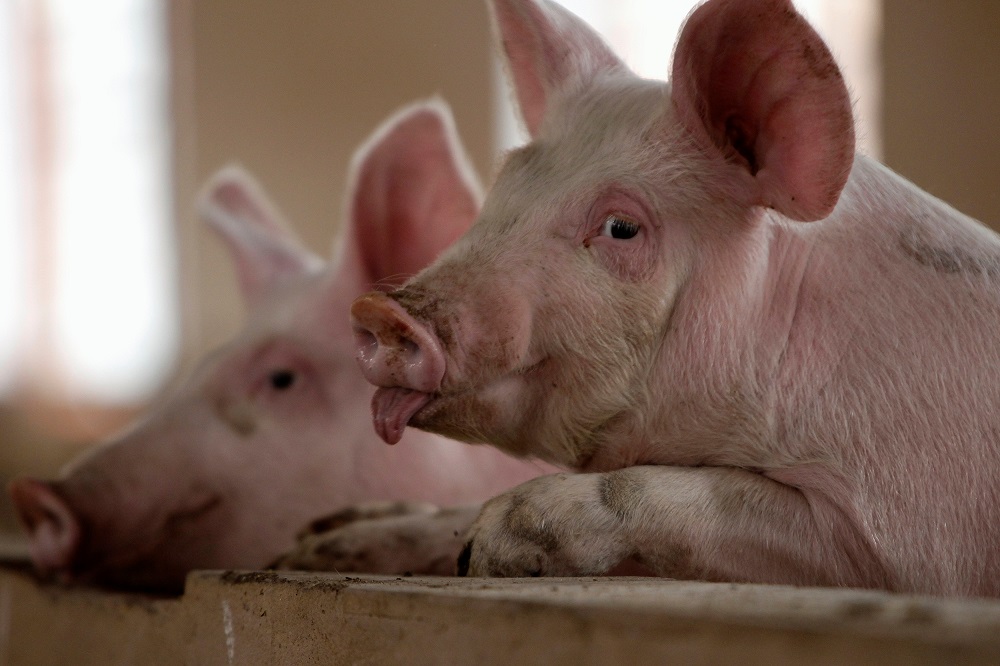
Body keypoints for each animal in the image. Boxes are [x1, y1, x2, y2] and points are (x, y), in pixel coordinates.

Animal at [348, 0, 1000, 597]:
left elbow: (650, 486)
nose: (381, 311)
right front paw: (342, 532)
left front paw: (493, 541)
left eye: (621, 228)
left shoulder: (904, 537)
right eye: (504, 186)